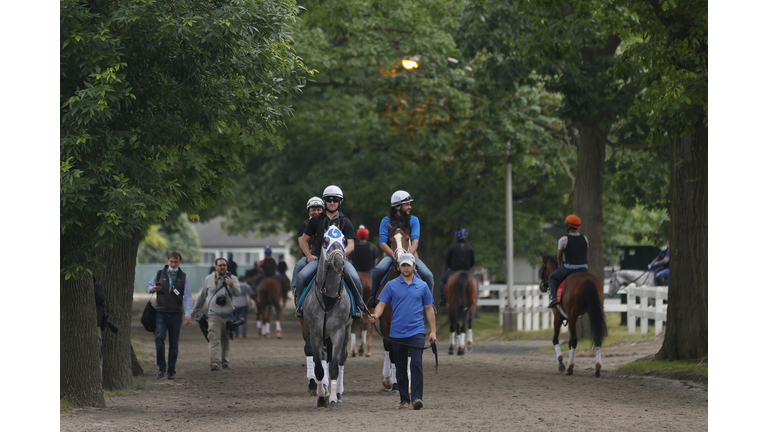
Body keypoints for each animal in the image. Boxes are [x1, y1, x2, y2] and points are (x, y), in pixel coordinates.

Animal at [302, 226, 352, 412]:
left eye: (344, 240)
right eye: (325, 240)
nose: (338, 262)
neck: (328, 296)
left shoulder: (338, 332)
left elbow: (334, 367)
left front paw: (332, 401)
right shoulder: (315, 334)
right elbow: (318, 368)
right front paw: (321, 398)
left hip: (347, 330)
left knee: (340, 360)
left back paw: (338, 394)